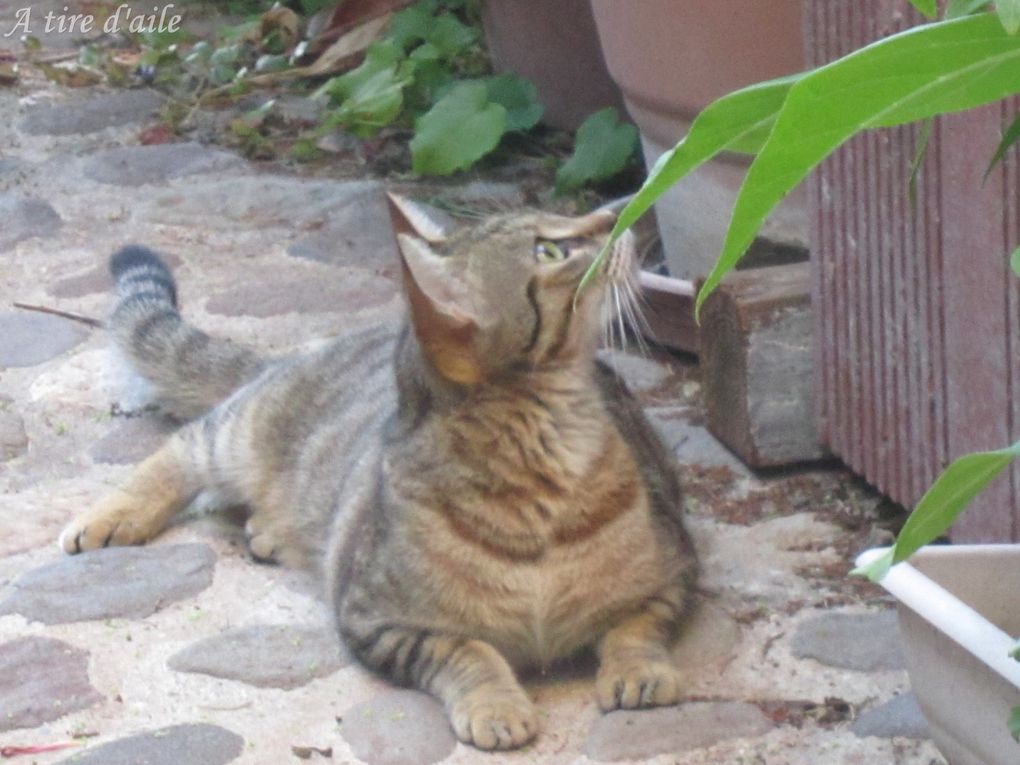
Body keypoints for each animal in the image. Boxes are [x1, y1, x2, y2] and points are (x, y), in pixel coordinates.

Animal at [59, 194, 697, 750]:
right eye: (549, 249)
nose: (619, 210)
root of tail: (295, 356)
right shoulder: (380, 622)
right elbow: (470, 652)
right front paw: (495, 705)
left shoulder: (675, 575)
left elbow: (636, 628)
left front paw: (638, 672)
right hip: (237, 434)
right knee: (184, 444)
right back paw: (109, 518)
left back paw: (269, 532)